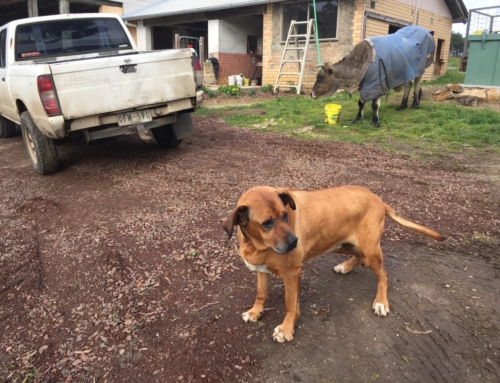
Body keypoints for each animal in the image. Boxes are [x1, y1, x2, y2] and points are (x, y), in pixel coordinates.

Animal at [223, 185, 446, 342]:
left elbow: (289, 305)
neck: (257, 244)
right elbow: (261, 294)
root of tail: (379, 200)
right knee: (358, 257)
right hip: (343, 244)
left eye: (285, 216)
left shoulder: (292, 274)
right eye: (267, 223)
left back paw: (381, 302)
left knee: (383, 275)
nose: (294, 242)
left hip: (370, 250)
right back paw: (345, 266)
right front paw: (255, 312)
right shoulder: (262, 270)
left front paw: (286, 329)